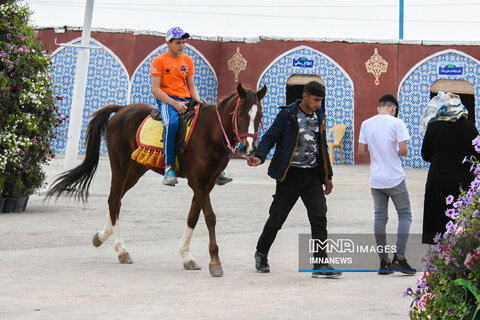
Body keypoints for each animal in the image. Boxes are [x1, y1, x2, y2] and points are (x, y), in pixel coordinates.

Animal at [46, 84, 266, 276]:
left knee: (116, 201)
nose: (249, 148)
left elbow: (193, 217)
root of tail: (122, 109)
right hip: (120, 166)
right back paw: (121, 250)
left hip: (136, 170)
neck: (210, 132)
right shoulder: (198, 183)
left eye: (260, 115)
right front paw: (215, 262)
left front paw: (186, 256)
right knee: (114, 200)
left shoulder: (207, 183)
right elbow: (210, 217)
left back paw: (102, 235)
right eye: (241, 114)